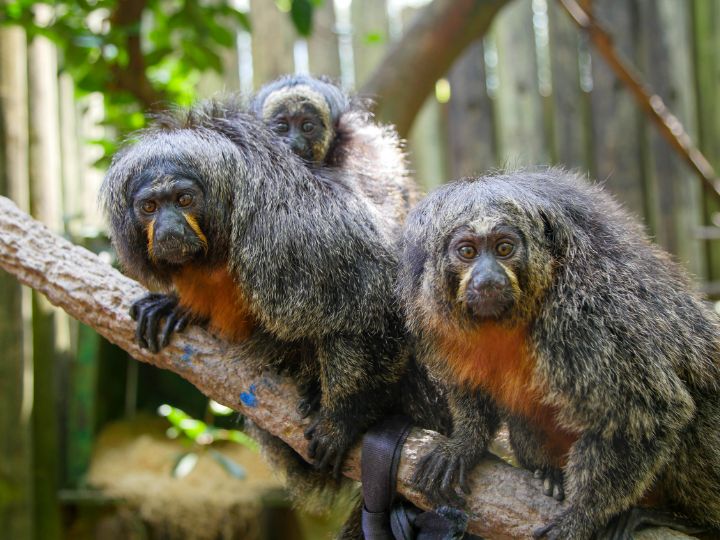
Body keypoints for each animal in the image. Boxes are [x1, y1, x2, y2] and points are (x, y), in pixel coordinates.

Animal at [396, 169, 720, 539]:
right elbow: (467, 387)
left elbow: (651, 412)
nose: (487, 278)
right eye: (467, 251)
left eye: (504, 248)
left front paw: (579, 518)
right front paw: (465, 443)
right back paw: (550, 475)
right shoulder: (433, 318)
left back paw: (688, 520)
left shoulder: (585, 319)